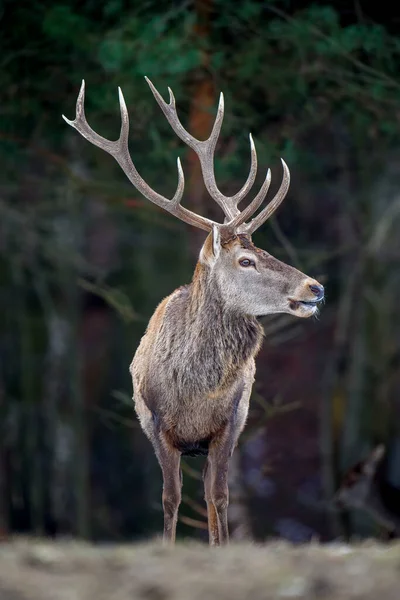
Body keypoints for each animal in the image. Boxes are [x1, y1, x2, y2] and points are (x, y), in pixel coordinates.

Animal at [63, 77, 324, 548]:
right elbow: (169, 498)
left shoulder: (228, 425)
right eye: (246, 260)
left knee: (213, 496)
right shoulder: (157, 425)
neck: (193, 394)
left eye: (265, 251)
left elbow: (219, 497)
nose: (315, 287)